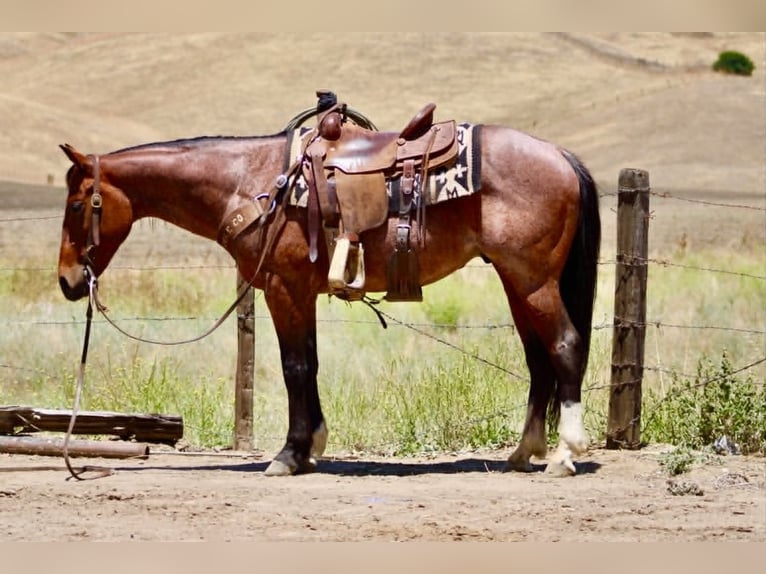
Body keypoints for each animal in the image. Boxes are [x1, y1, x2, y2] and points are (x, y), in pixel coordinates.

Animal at [57, 108, 601, 477]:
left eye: (79, 204)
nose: (67, 280)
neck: (250, 183)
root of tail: (560, 156)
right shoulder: (301, 292)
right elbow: (310, 363)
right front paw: (312, 446)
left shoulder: (283, 287)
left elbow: (295, 367)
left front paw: (289, 454)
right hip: (517, 281)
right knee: (537, 358)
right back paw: (523, 452)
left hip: (533, 280)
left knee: (564, 346)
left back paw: (566, 453)